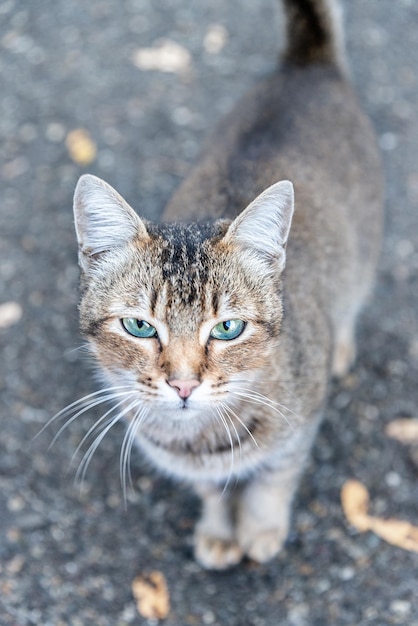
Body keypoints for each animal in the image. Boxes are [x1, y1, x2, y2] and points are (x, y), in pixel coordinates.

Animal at [71, 0, 382, 568]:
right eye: (139, 327)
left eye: (228, 328)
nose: (183, 385)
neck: (195, 440)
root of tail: (306, 63)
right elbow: (213, 490)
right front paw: (219, 530)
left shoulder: (299, 430)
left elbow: (271, 483)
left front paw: (260, 530)